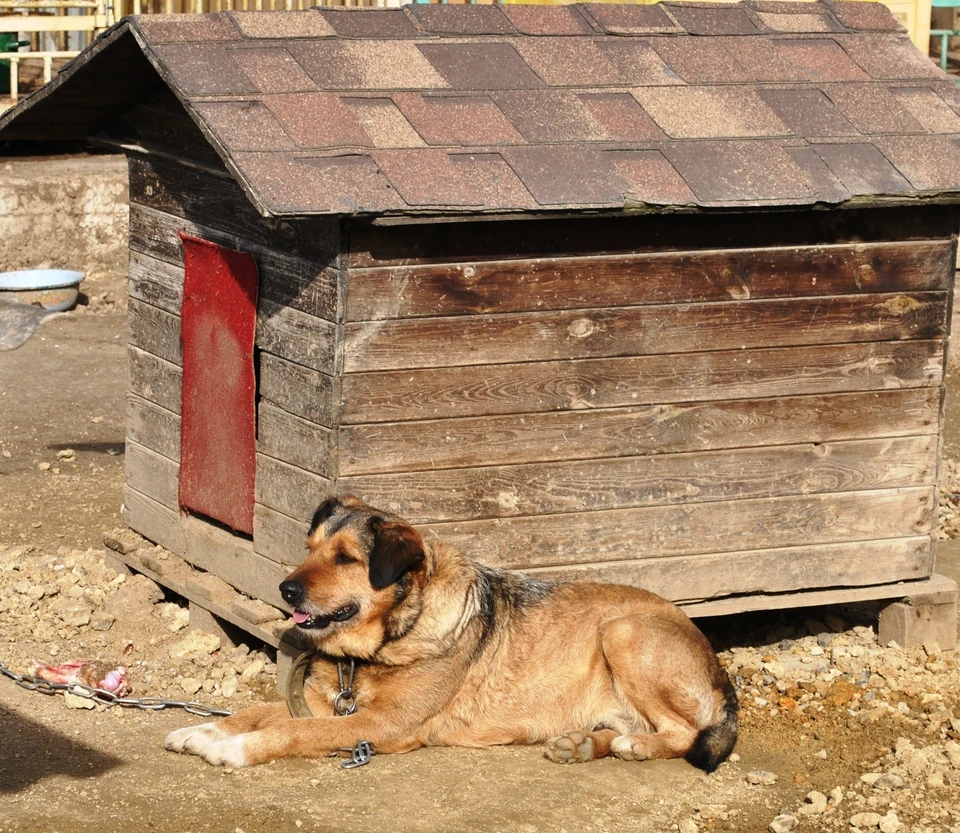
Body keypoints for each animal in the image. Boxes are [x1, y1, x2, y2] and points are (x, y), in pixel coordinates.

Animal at [165, 490, 740, 772]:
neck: (389, 641)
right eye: (309, 549)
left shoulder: (384, 724)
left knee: (684, 733)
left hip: (622, 631)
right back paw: (583, 745)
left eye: (346, 558)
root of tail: (717, 668)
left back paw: (634, 748)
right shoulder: (324, 705)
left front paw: (233, 750)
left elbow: (290, 730)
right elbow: (254, 712)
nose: (285, 589)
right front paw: (202, 731)